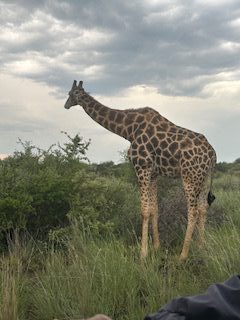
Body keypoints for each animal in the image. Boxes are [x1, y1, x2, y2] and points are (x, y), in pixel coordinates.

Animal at [63, 80, 216, 260]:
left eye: (70, 94)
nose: (65, 105)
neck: (128, 129)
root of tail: (212, 154)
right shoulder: (153, 173)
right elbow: (154, 209)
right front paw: (156, 247)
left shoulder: (141, 167)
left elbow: (144, 211)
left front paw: (143, 253)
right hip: (204, 177)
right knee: (203, 208)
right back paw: (201, 248)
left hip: (190, 176)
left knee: (192, 211)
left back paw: (183, 255)